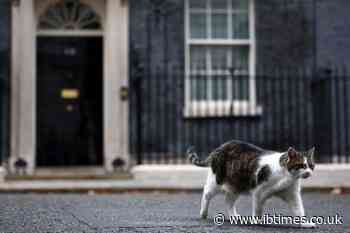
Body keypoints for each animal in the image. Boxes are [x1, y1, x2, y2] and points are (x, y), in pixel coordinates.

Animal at [187, 140, 316, 228]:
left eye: (311, 166)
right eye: (302, 165)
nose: (309, 172)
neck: (287, 177)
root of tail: (220, 148)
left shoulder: (292, 195)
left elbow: (299, 209)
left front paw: (305, 223)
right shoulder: (259, 192)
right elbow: (258, 209)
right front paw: (256, 221)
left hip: (236, 185)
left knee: (228, 200)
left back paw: (234, 216)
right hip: (217, 181)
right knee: (206, 193)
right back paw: (203, 213)